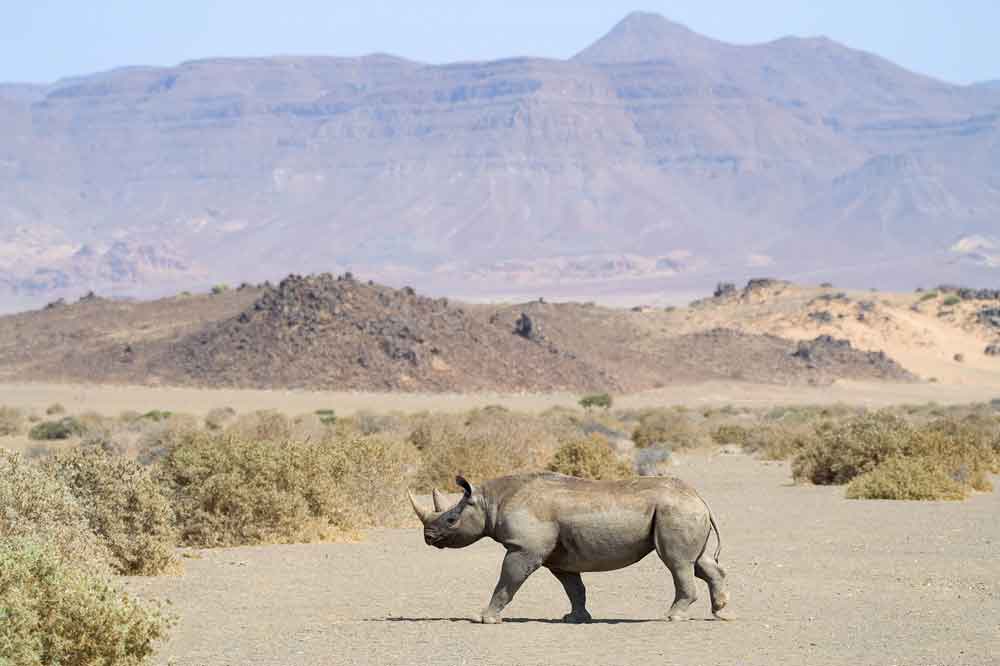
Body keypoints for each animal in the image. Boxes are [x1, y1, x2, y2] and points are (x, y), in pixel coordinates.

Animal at [406, 470, 728, 620]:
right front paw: (576, 618)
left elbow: (507, 580)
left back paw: (673, 616)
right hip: (682, 511)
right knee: (698, 562)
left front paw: (484, 618)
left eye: (451, 520)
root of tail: (700, 498)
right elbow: (574, 588)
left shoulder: (524, 548)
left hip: (676, 511)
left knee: (677, 562)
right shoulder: (559, 557)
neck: (489, 501)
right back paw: (722, 613)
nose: (428, 537)